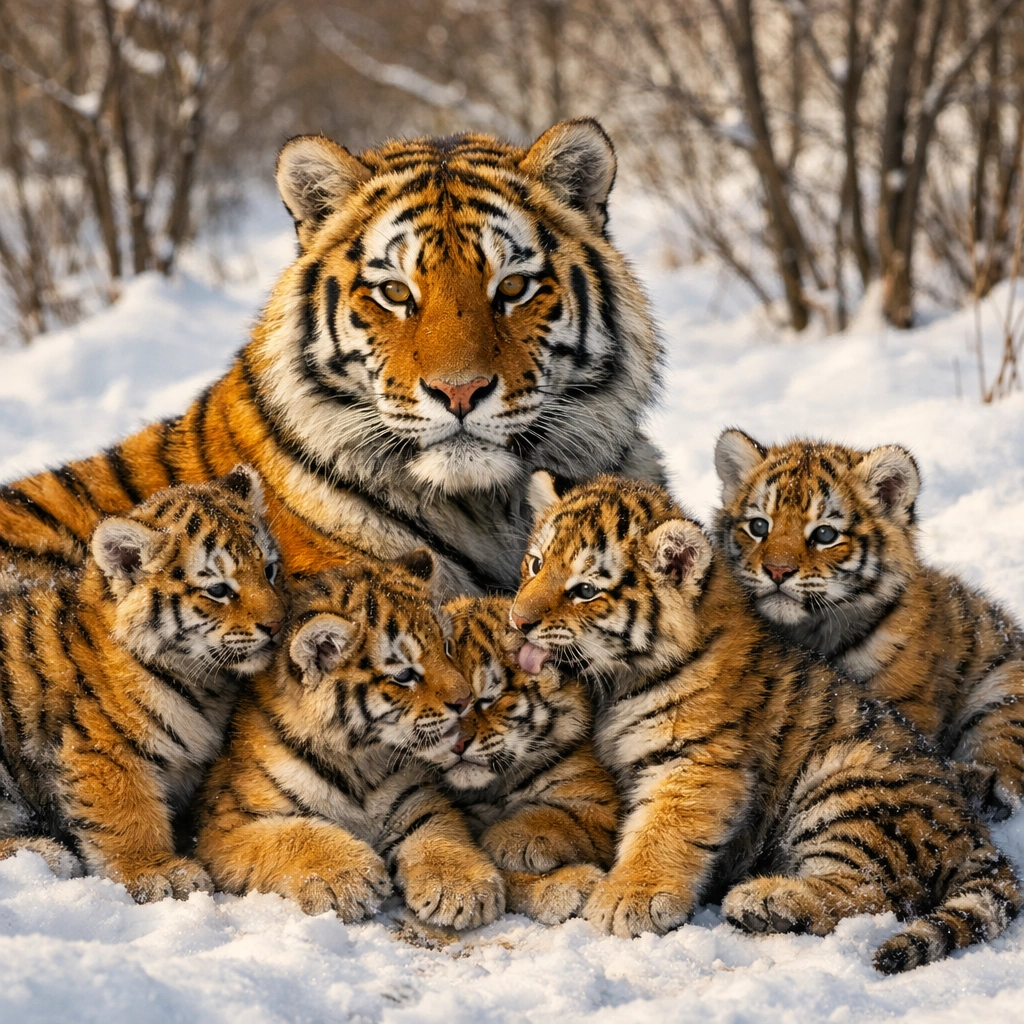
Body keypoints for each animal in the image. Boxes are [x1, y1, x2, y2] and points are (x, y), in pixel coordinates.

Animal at [0, 468, 286, 903]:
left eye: (268, 569)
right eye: (218, 590)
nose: (278, 625)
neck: (200, 679)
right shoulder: (102, 745)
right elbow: (126, 811)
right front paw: (157, 872)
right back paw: (44, 853)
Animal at [193, 553, 506, 929]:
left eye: (445, 648)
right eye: (404, 675)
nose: (466, 702)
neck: (358, 759)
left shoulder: (417, 797)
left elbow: (437, 830)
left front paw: (463, 887)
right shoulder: (224, 824)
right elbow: (291, 834)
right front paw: (350, 876)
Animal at [425, 595, 619, 924]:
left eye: (487, 699)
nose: (457, 744)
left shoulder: (604, 805)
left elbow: (561, 815)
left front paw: (504, 838)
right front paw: (568, 885)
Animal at [508, 472, 1021, 973]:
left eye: (585, 590)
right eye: (535, 564)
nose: (517, 620)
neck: (617, 680)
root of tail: (977, 835)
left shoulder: (697, 759)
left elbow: (661, 830)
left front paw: (631, 898)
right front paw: (534, 836)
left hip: (853, 790)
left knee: (869, 894)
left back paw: (766, 900)